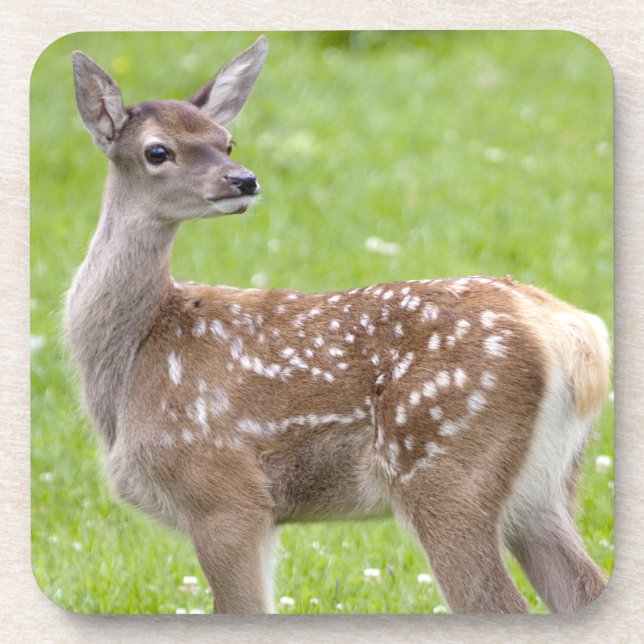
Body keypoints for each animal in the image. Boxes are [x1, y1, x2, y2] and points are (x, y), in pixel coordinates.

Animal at [65, 36, 611, 614]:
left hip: (444, 463)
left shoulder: (223, 491)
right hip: (546, 487)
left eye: (227, 142)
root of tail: (573, 334)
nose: (244, 179)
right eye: (157, 151)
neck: (134, 360)